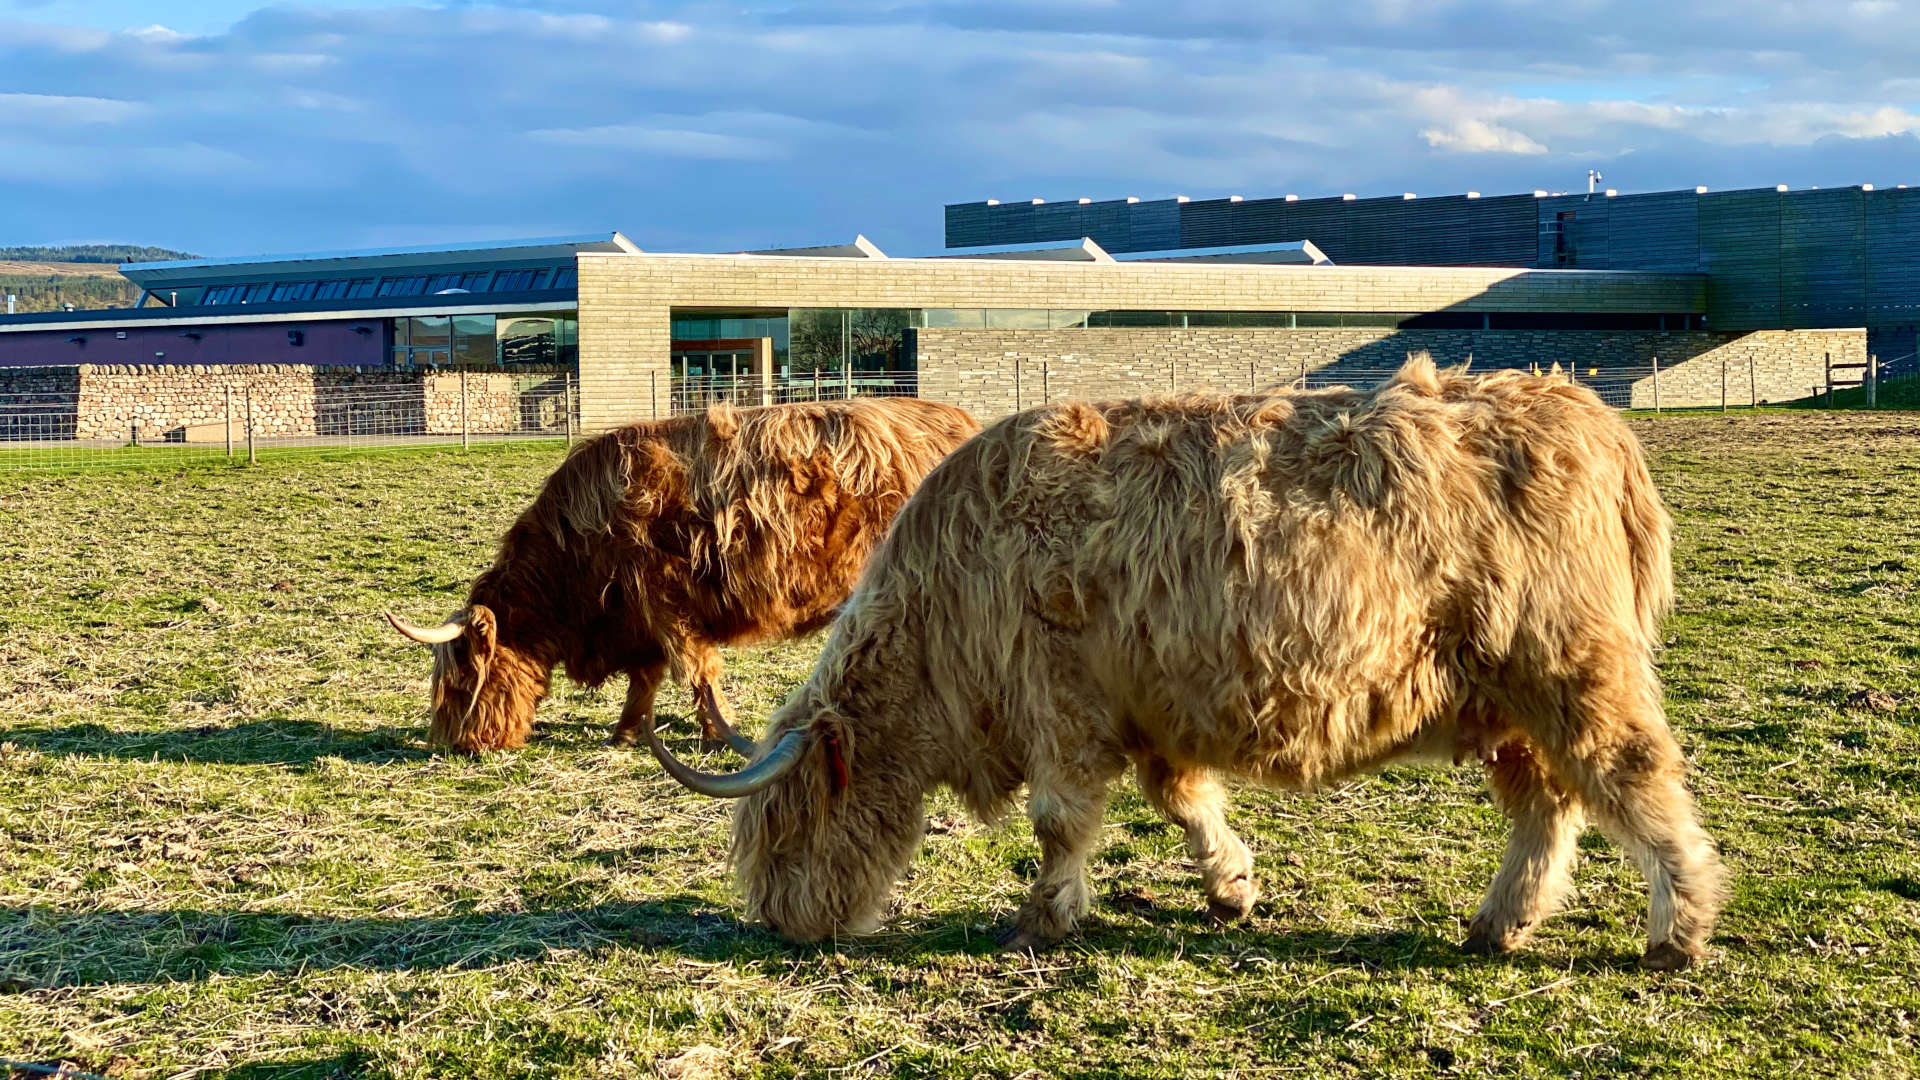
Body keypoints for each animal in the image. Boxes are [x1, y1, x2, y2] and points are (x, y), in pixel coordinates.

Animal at [385, 396, 980, 755]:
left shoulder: (666, 602)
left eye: (460, 682)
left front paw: (719, 734)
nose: (452, 745)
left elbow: (697, 673)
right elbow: (646, 679)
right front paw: (626, 733)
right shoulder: (641, 617)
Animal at [647, 358, 1727, 971]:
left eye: (787, 831)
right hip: (1501, 695)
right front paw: (1230, 887)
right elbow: (1182, 800)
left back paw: (1675, 933)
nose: (777, 924)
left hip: (1568, 667)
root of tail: (1591, 417)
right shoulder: (1148, 708)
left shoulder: (1062, 703)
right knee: (1548, 803)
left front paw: (1043, 918)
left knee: (1633, 779)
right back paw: (1501, 921)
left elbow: (1060, 821)